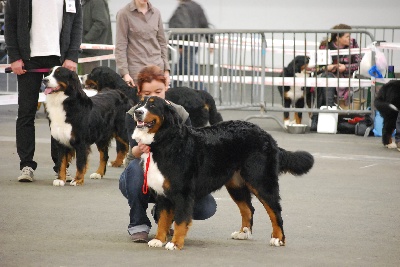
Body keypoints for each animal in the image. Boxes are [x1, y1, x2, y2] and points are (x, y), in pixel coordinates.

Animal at [130, 96, 314, 251]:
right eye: (140, 103)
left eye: (152, 105)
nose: (137, 112)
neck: (164, 141)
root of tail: (266, 135)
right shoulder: (163, 192)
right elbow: (163, 219)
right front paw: (159, 240)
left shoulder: (183, 192)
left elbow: (181, 220)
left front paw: (175, 243)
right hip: (236, 184)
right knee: (248, 208)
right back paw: (243, 233)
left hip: (260, 180)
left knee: (275, 211)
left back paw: (278, 238)